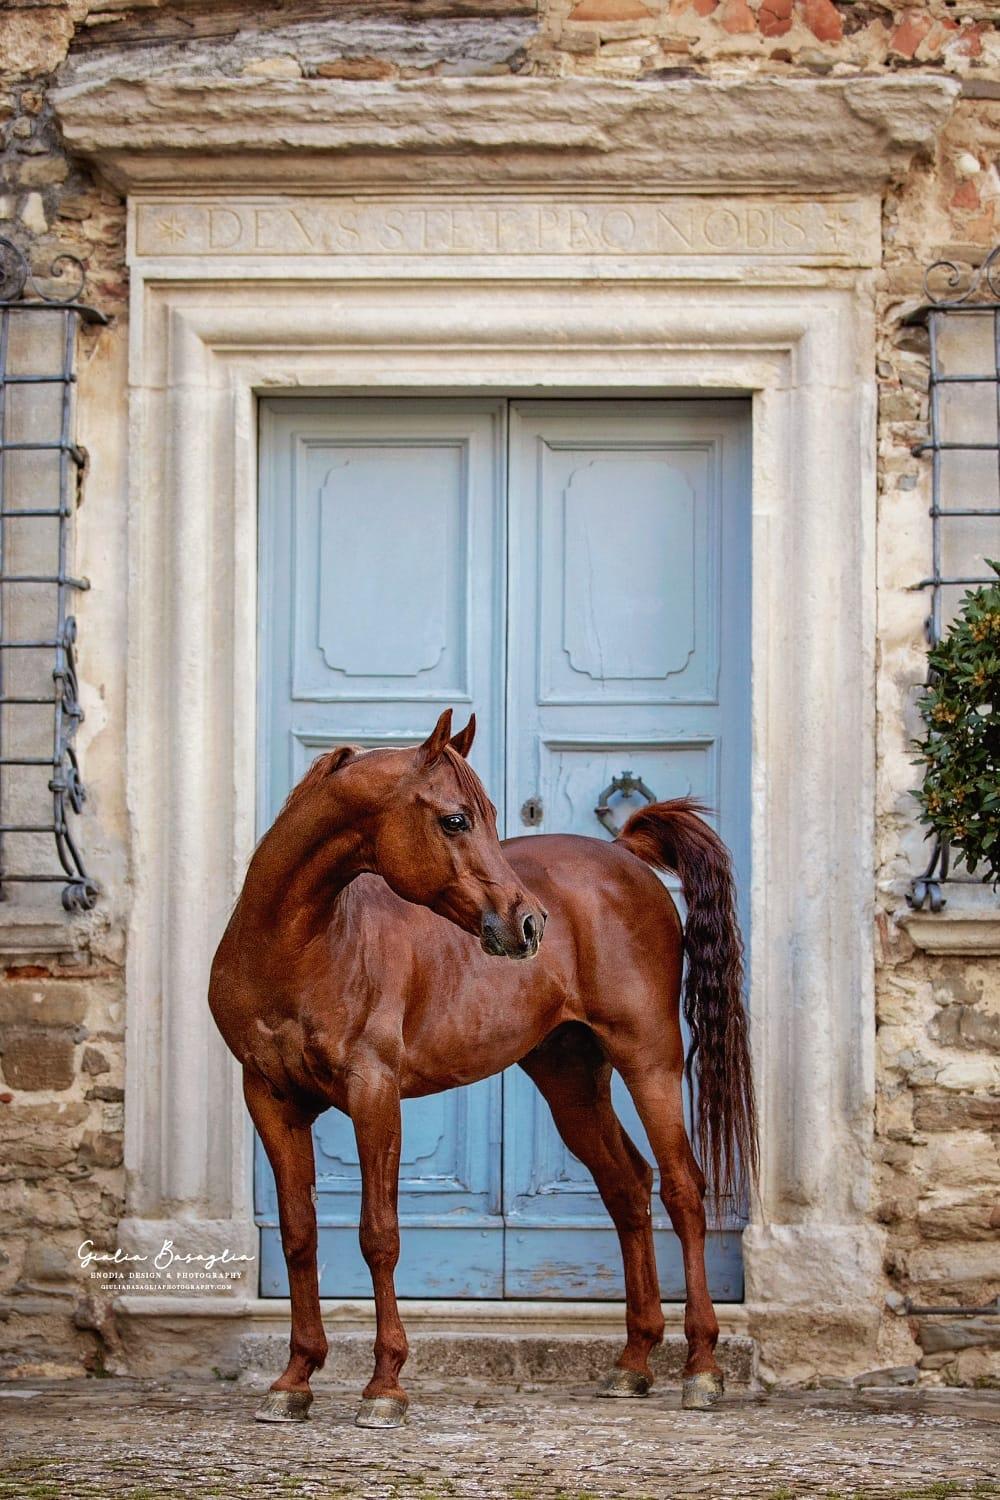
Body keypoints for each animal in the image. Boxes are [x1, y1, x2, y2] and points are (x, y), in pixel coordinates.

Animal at [211, 708, 758, 1422]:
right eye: (455, 819)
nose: (528, 925)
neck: (295, 945)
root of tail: (625, 856)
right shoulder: (271, 1100)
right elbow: (299, 1234)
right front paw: (295, 1379)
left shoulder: (373, 1095)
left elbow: (379, 1235)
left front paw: (385, 1385)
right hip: (570, 1079)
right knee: (627, 1187)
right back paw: (633, 1362)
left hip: (650, 1059)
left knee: (683, 1190)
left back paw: (701, 1367)